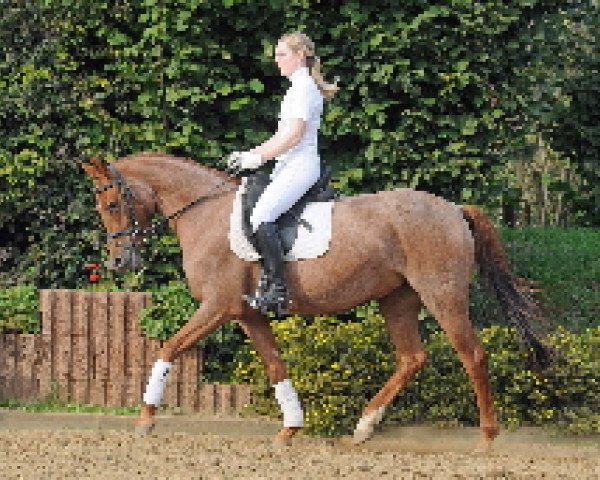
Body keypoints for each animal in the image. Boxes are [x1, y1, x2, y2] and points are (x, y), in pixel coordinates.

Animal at [82, 152, 556, 452]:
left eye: (113, 203)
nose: (120, 261)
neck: (206, 213)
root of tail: (454, 209)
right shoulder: (248, 314)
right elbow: (276, 367)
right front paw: (289, 430)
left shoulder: (216, 307)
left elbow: (169, 347)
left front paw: (145, 418)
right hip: (397, 299)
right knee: (412, 357)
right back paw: (363, 427)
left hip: (441, 293)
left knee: (472, 354)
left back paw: (486, 438)